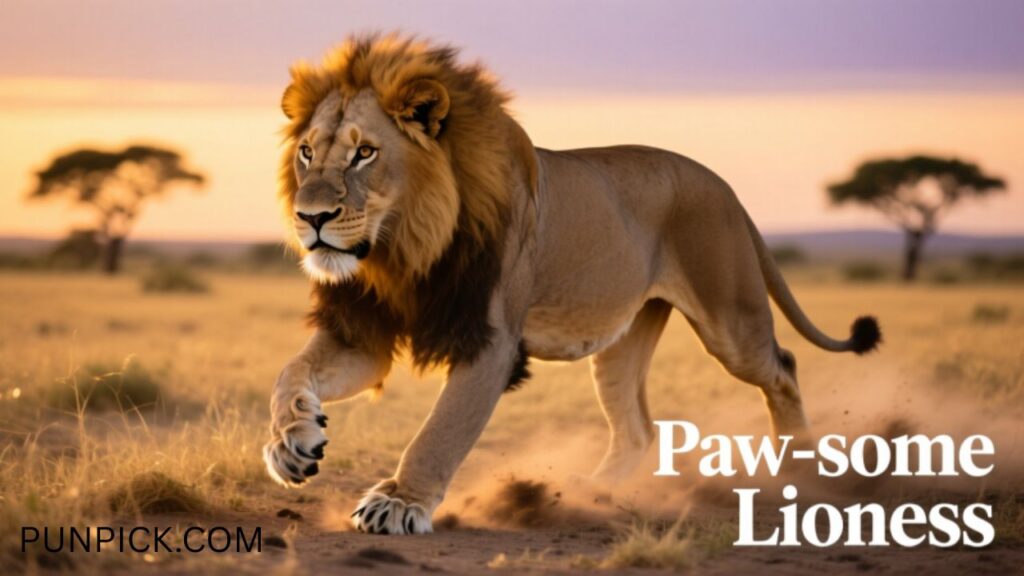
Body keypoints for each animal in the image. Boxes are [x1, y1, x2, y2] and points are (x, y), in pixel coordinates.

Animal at [262, 34, 881, 535]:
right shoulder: (364, 332)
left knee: (783, 367)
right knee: (638, 430)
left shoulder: (490, 341)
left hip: (730, 318)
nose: (310, 217)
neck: (402, 250)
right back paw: (585, 492)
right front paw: (292, 441)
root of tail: (725, 187)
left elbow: (440, 431)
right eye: (307, 152)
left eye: (365, 153)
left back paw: (799, 466)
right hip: (624, 340)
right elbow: (289, 373)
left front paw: (399, 503)